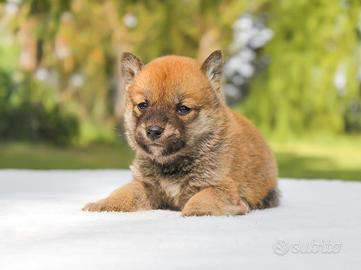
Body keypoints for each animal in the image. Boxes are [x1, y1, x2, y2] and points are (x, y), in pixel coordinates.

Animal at [82, 50, 278, 215]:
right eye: (142, 105)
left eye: (183, 109)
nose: (153, 131)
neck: (172, 164)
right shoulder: (145, 185)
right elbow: (122, 194)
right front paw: (102, 204)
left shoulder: (220, 186)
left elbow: (198, 201)